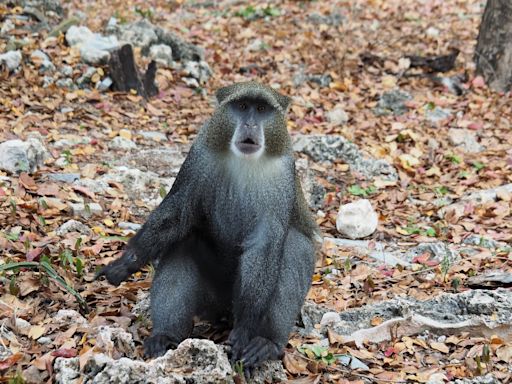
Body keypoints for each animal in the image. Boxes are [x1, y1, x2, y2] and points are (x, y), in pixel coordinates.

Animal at [97, 82, 316, 368]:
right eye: (242, 106)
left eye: (261, 109)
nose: (250, 124)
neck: (245, 161)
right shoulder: (199, 158)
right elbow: (177, 215)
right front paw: (126, 263)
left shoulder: (281, 178)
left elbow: (266, 245)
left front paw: (246, 329)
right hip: (212, 302)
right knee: (184, 242)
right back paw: (165, 335)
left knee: (296, 244)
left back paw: (267, 342)